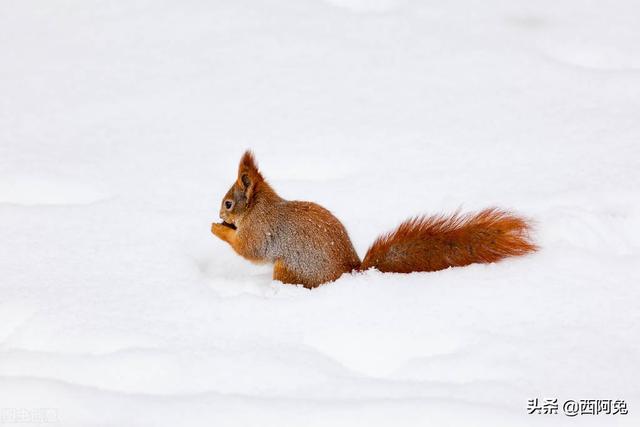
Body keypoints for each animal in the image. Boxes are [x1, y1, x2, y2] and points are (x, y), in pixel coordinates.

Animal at [210, 152, 536, 290]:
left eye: (228, 203)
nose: (220, 215)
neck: (258, 207)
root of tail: (352, 271)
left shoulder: (261, 230)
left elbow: (250, 250)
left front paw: (219, 230)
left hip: (289, 270)